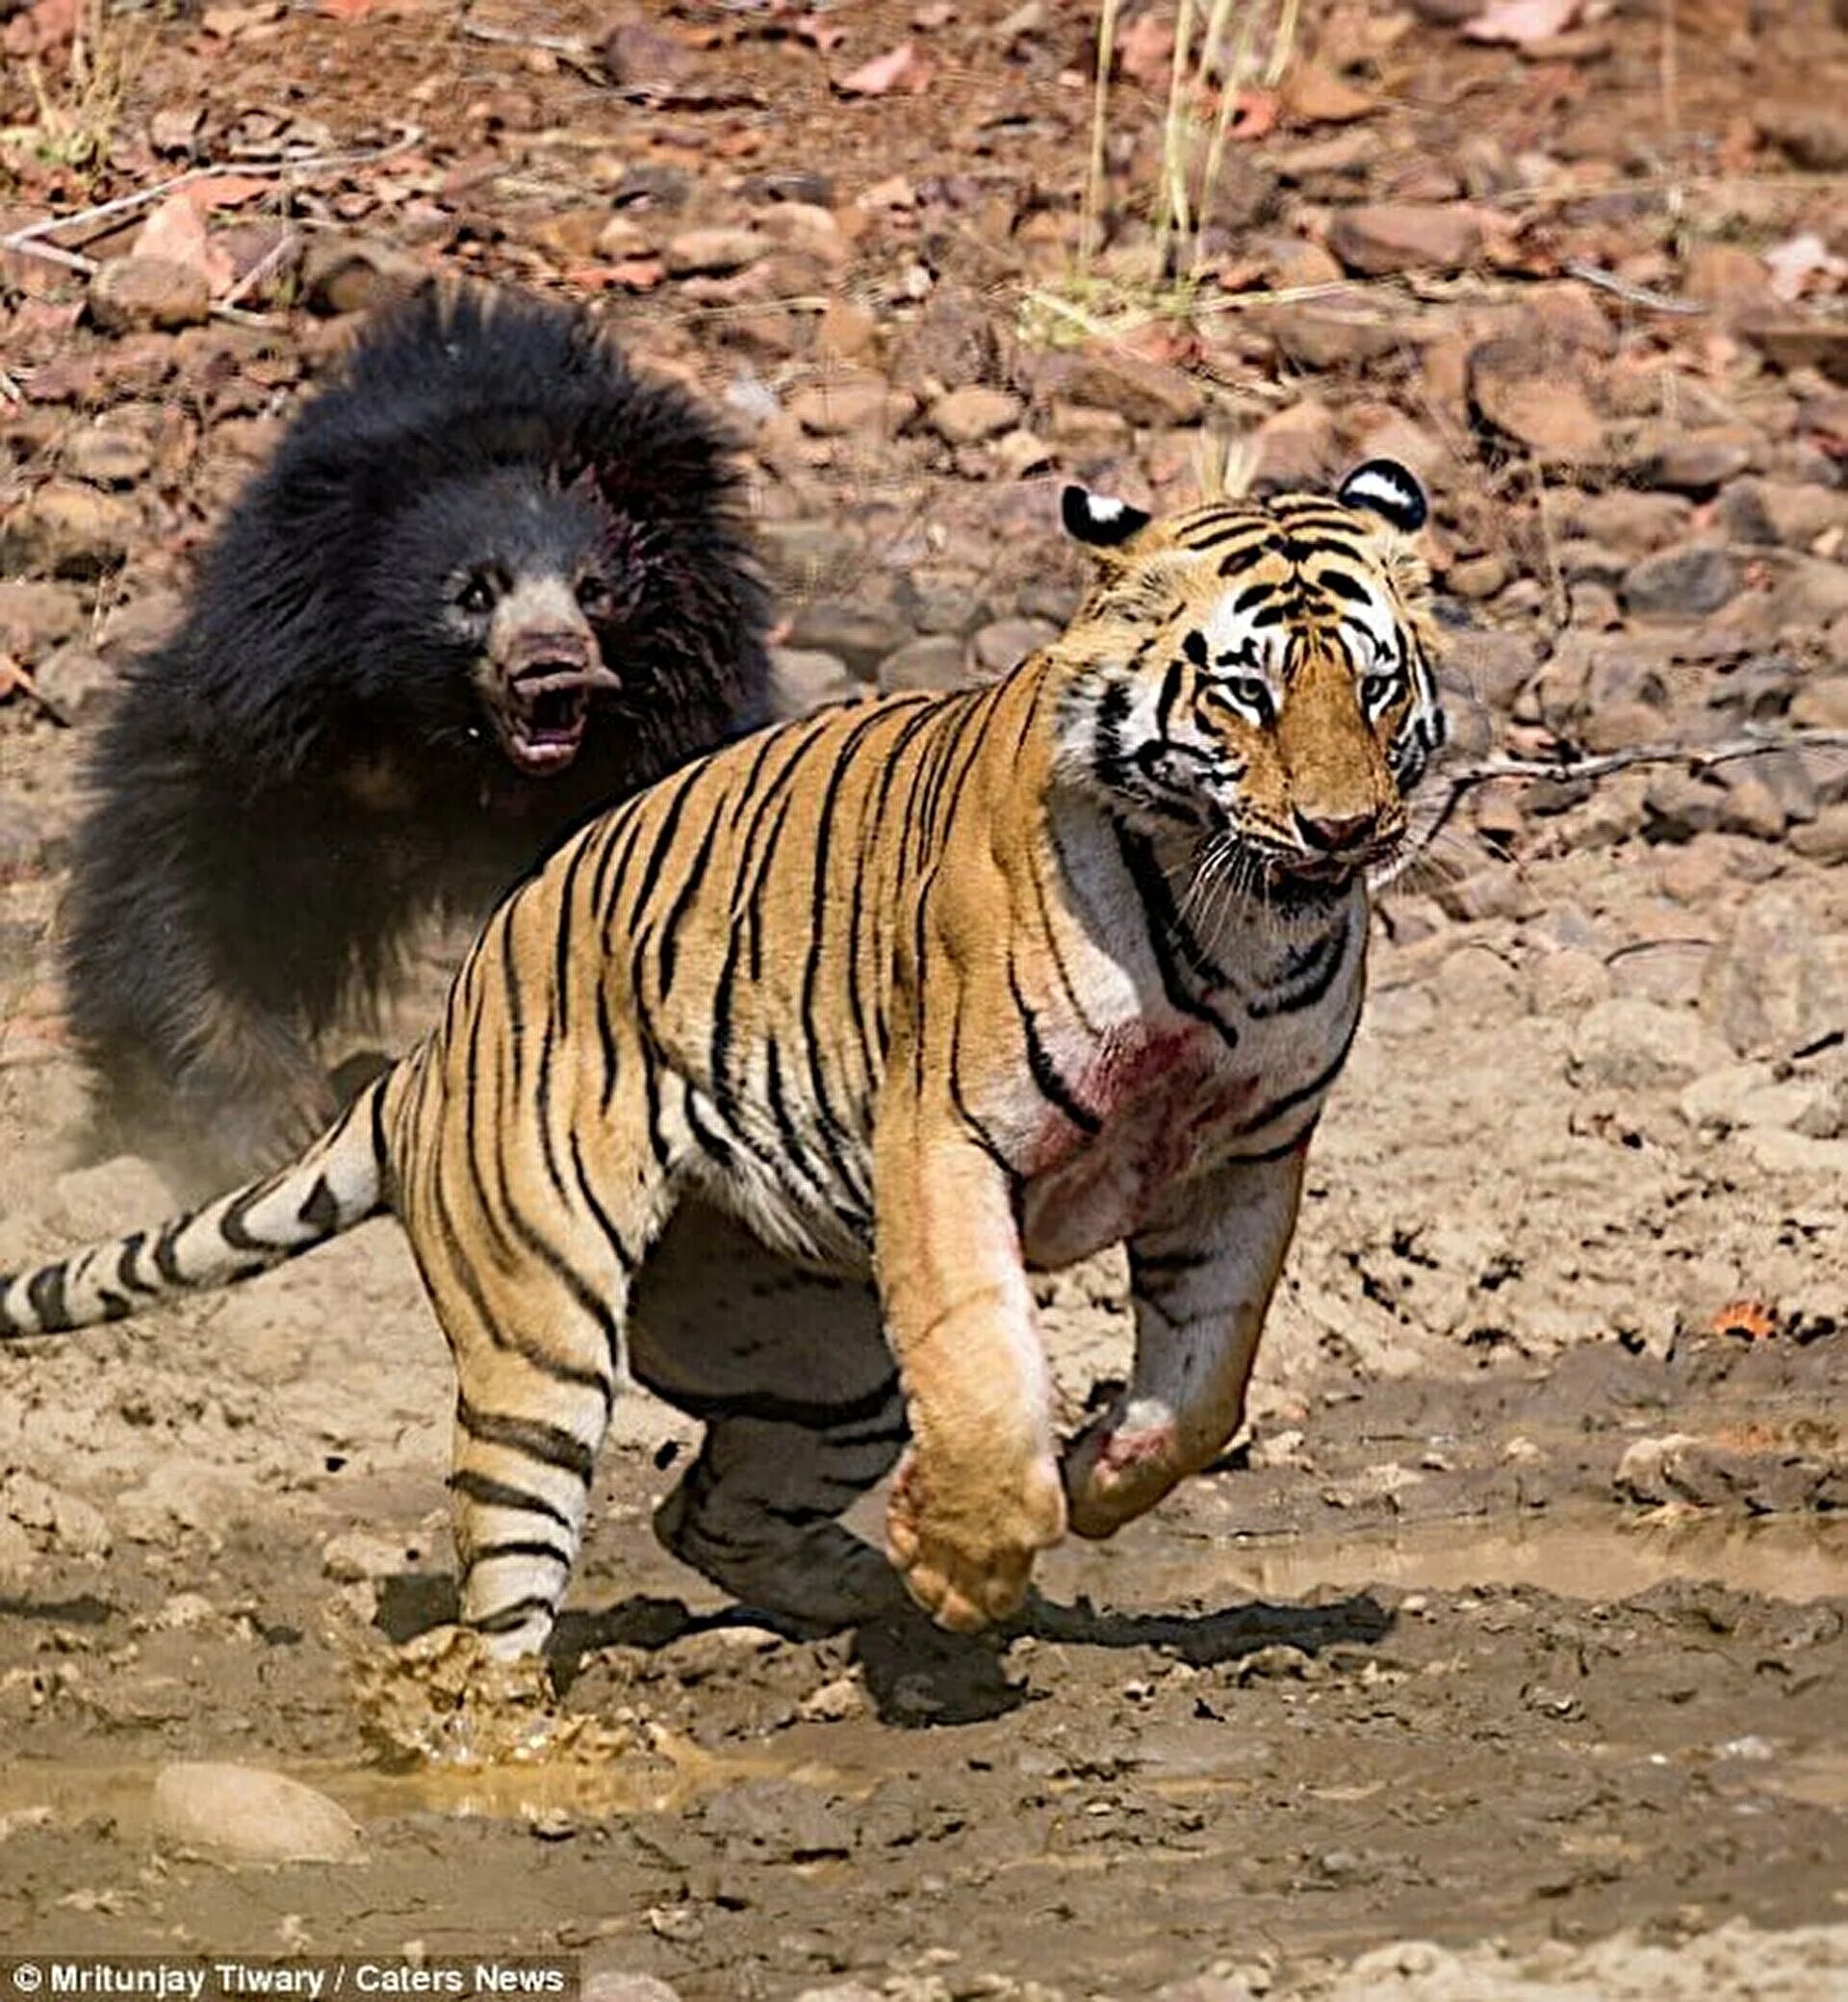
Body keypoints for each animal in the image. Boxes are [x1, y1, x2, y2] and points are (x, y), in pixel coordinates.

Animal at [0, 458, 1441, 1657]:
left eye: (1373, 685)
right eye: (1246, 689)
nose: (1345, 827)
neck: (1237, 928)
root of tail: (432, 1051)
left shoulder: (1247, 1157)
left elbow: (1206, 1385)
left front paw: (1085, 1484)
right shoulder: (949, 1138)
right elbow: (983, 1371)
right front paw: (970, 1556)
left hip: (829, 1364)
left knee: (701, 1512)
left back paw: (869, 1588)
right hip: (541, 1337)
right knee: (508, 1594)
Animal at [63, 282, 772, 1185]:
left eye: (596, 589)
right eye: (473, 592)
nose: (552, 664)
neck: (458, 744)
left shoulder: (679, 732)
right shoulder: (278, 701)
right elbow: (185, 861)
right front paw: (272, 1120)